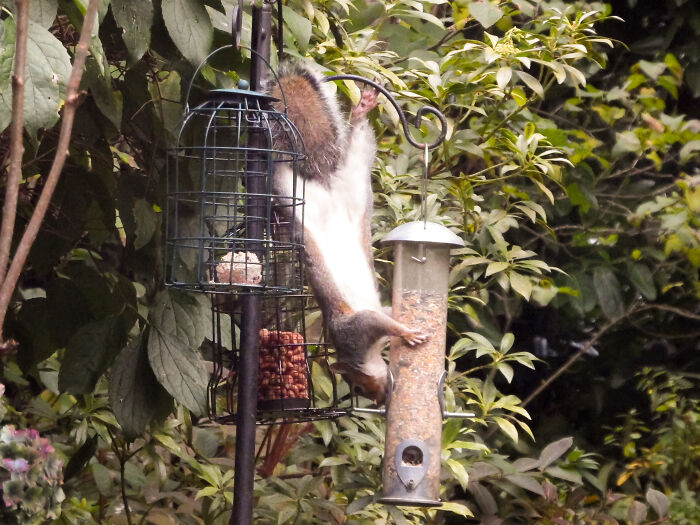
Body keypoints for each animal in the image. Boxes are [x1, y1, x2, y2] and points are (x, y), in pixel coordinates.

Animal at [267, 63, 427, 405]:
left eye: (358, 387)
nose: (380, 400)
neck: (362, 353)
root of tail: (324, 187)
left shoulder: (353, 332)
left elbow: (381, 320)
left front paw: (406, 332)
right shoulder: (362, 327)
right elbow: (383, 316)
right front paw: (406, 330)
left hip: (347, 179)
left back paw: (361, 109)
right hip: (296, 190)